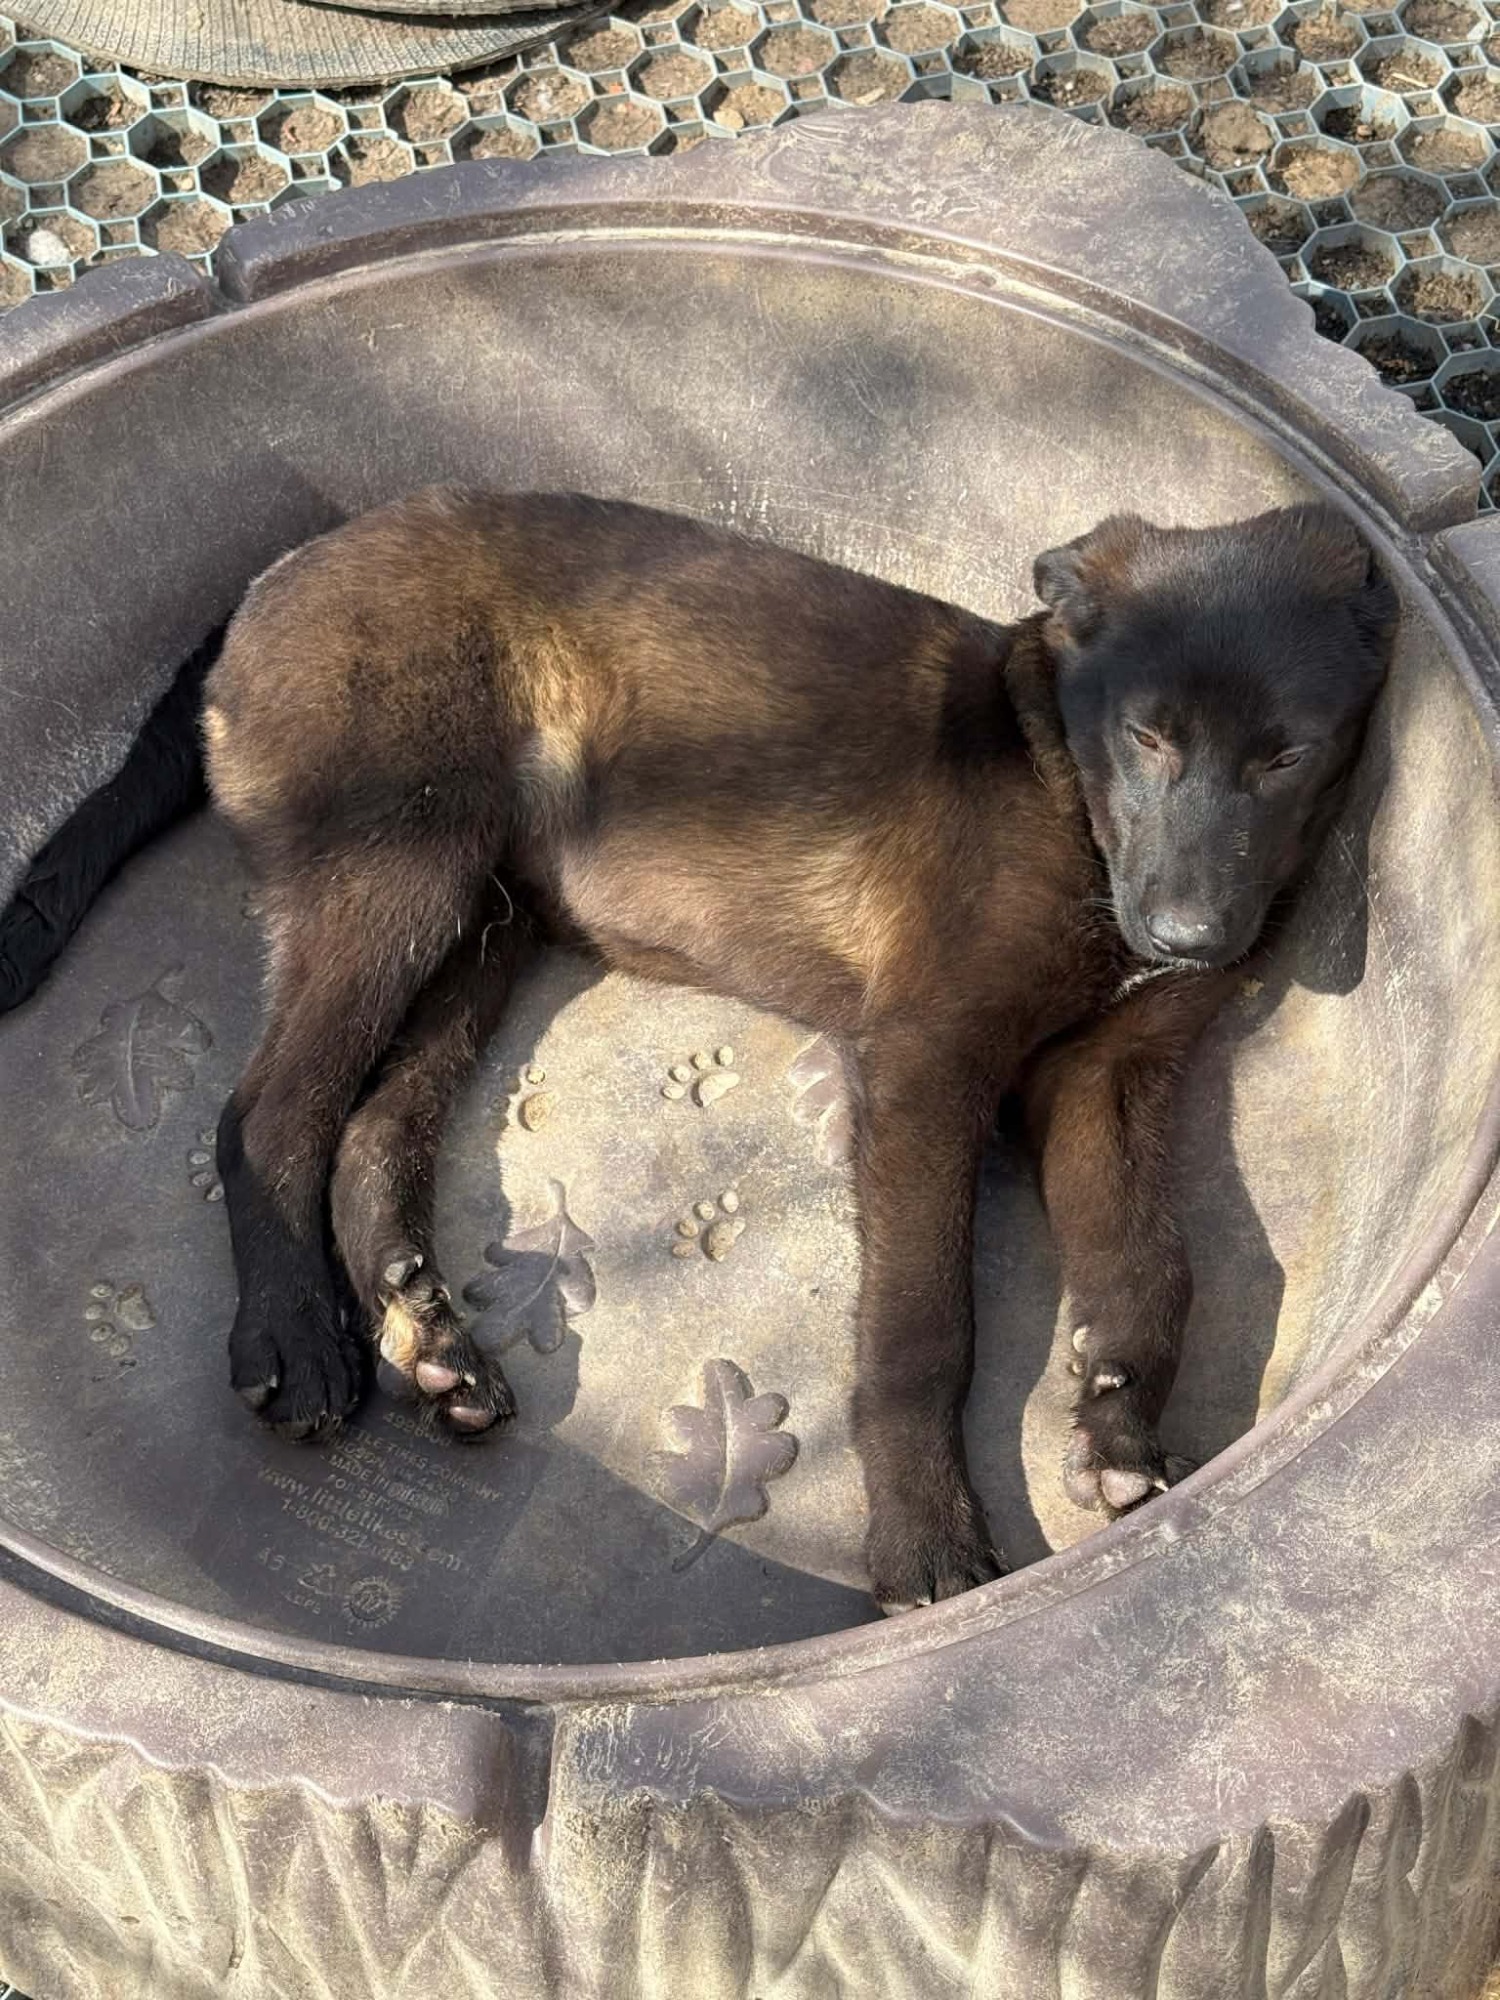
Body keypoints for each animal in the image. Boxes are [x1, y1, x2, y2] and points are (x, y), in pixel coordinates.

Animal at [0, 492, 1395, 1612]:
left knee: (369, 1129)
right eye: (1148, 737)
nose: (1191, 937)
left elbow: (1158, 1268)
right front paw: (927, 1542)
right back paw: (296, 1338)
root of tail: (276, 571)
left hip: (480, 916)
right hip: (392, 861)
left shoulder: (1107, 1075)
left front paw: (1116, 1425)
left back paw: (428, 1332)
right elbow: (921, 1333)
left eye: (1287, 754)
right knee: (270, 1113)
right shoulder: (926, 1063)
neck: (1062, 783)